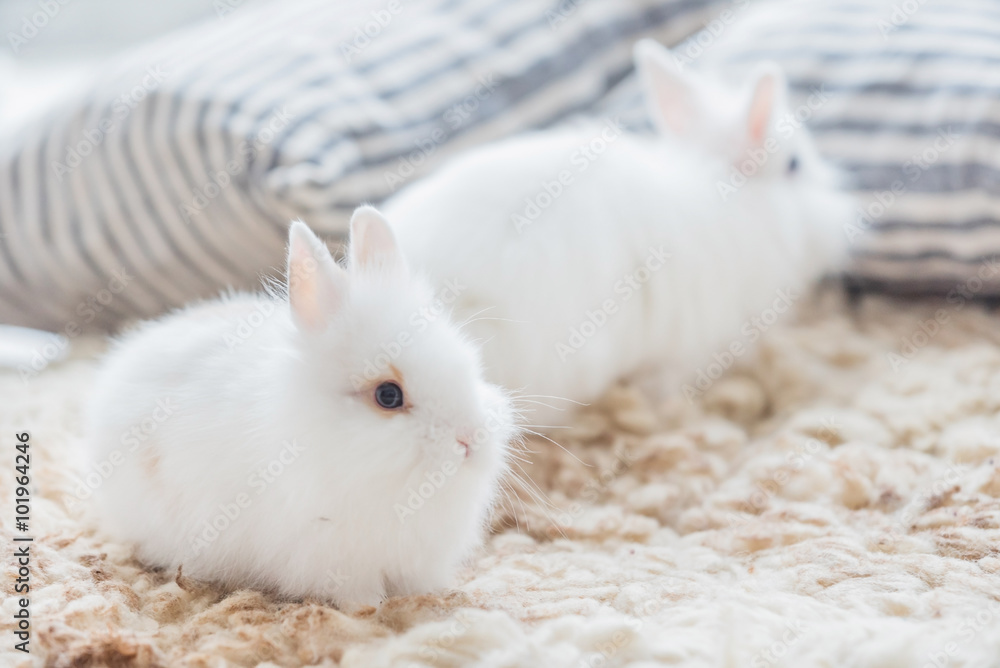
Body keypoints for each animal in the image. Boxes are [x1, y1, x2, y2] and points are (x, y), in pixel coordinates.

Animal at [85, 207, 516, 609]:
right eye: (388, 396)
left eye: (467, 362)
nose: (470, 440)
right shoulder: (334, 556)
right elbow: (357, 592)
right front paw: (369, 607)